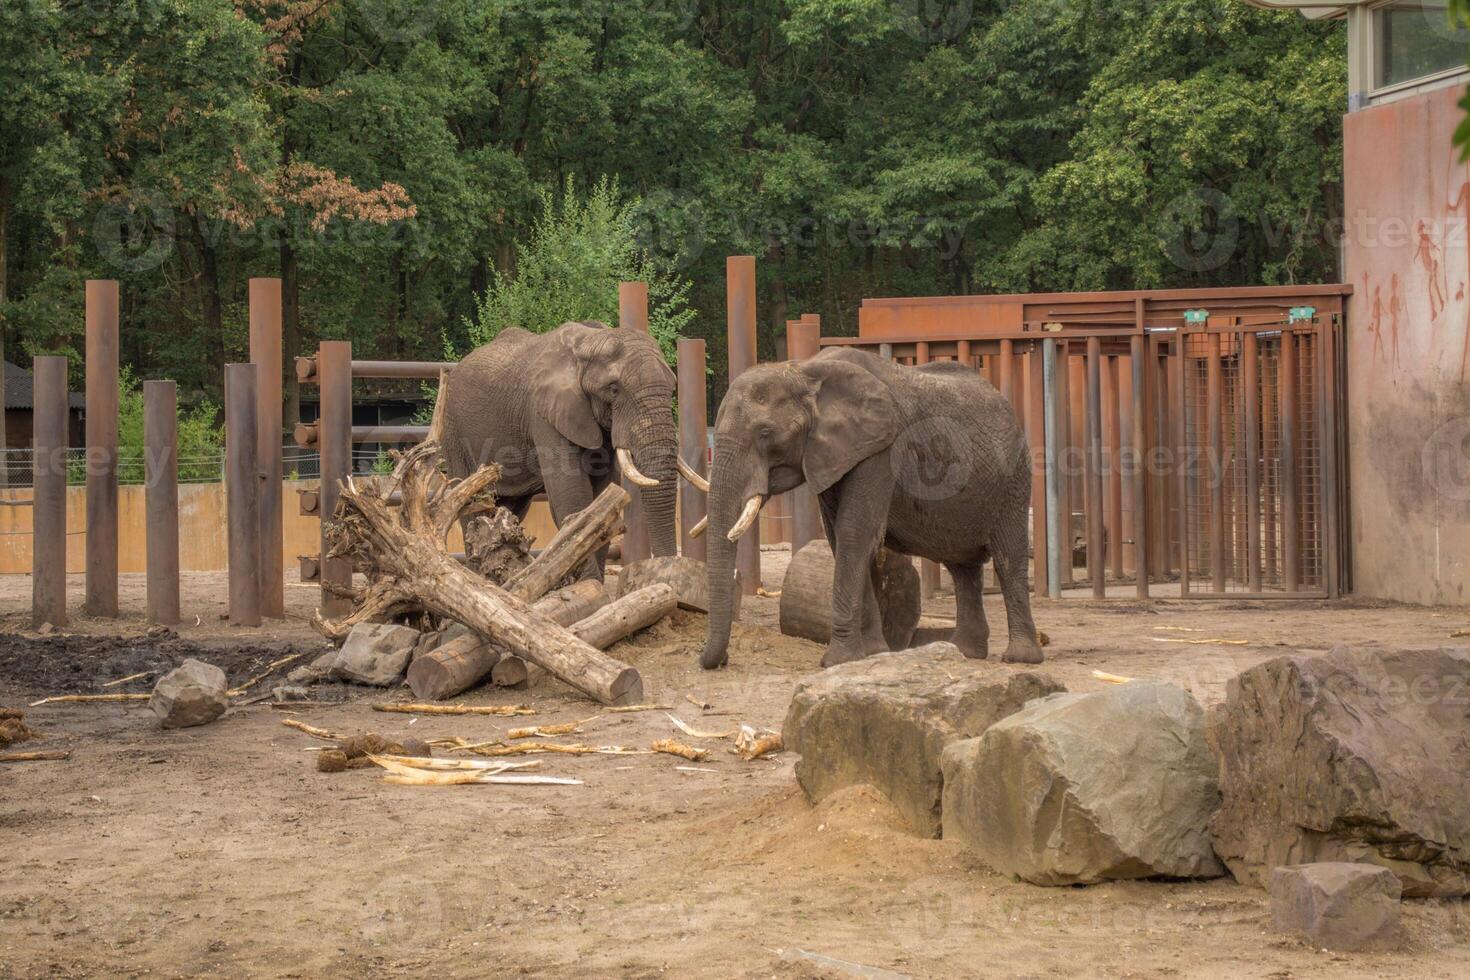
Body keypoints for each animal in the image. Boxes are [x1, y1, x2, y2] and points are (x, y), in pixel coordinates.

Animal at [441, 321, 705, 578]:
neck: (590, 342)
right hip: (454, 431)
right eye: (614, 389)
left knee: (509, 506)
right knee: (472, 506)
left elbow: (603, 498)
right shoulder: (543, 413)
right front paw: (588, 585)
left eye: (672, 387)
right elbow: (571, 495)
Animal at [699, 345, 1046, 667]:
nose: (720, 660)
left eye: (765, 433)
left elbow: (856, 533)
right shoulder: (834, 453)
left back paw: (1020, 658)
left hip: (1014, 479)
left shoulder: (880, 449)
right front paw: (874, 654)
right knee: (962, 567)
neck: (804, 371)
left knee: (1007, 557)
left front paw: (837, 661)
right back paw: (964, 652)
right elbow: (840, 539)